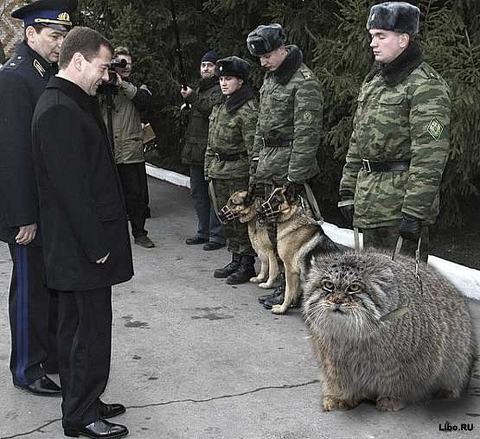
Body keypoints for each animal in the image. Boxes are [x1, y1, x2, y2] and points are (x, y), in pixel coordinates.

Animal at [304, 251, 476, 412]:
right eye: (328, 285)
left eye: (354, 287)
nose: (337, 301)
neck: (352, 336)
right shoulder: (332, 358)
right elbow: (337, 379)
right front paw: (340, 397)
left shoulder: (410, 361)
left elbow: (399, 380)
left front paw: (392, 398)